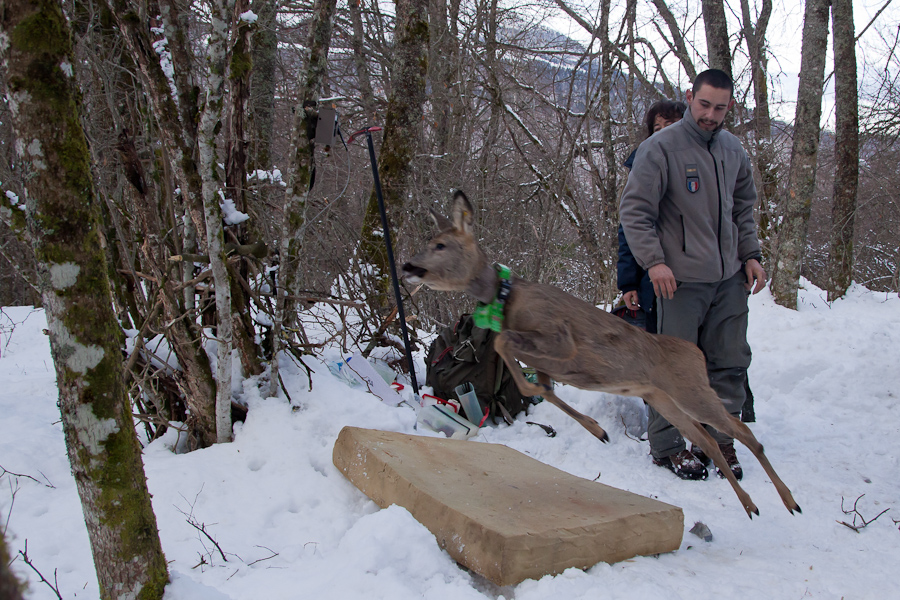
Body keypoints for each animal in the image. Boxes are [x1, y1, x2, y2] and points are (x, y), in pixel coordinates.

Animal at [402, 190, 800, 516]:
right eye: (430, 241)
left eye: (440, 245)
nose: (407, 266)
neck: (507, 299)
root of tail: (696, 355)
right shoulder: (547, 364)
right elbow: (542, 387)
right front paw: (598, 431)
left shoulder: (561, 337)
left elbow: (505, 346)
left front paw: (593, 427)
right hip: (665, 398)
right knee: (708, 439)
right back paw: (751, 505)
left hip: (691, 390)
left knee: (743, 432)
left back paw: (789, 502)